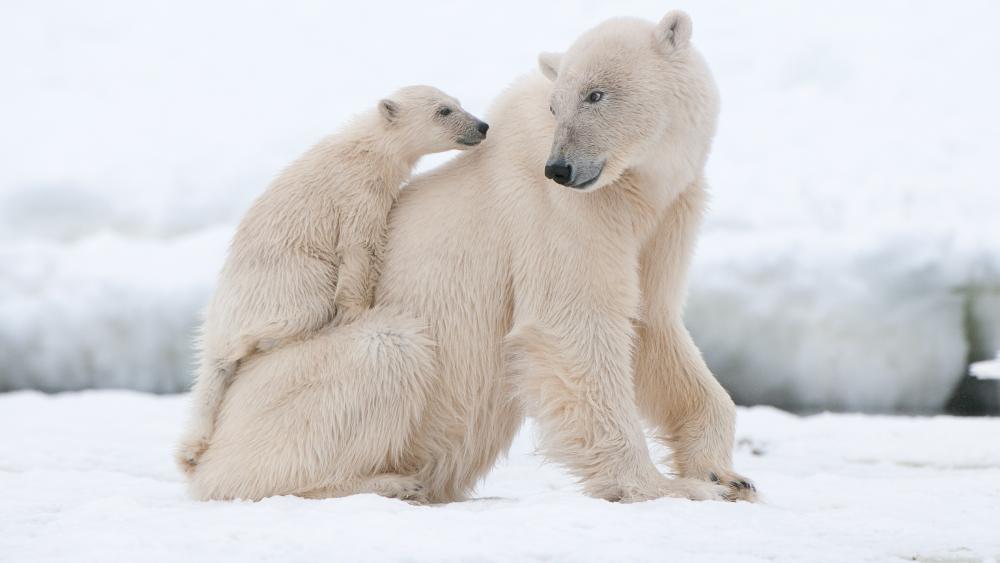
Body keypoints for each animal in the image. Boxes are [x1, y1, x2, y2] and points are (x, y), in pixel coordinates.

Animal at [176, 87, 488, 476]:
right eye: (443, 110)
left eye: (458, 102)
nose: (482, 125)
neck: (367, 147)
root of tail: (218, 321)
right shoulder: (357, 193)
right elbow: (359, 248)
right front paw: (357, 312)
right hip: (288, 281)